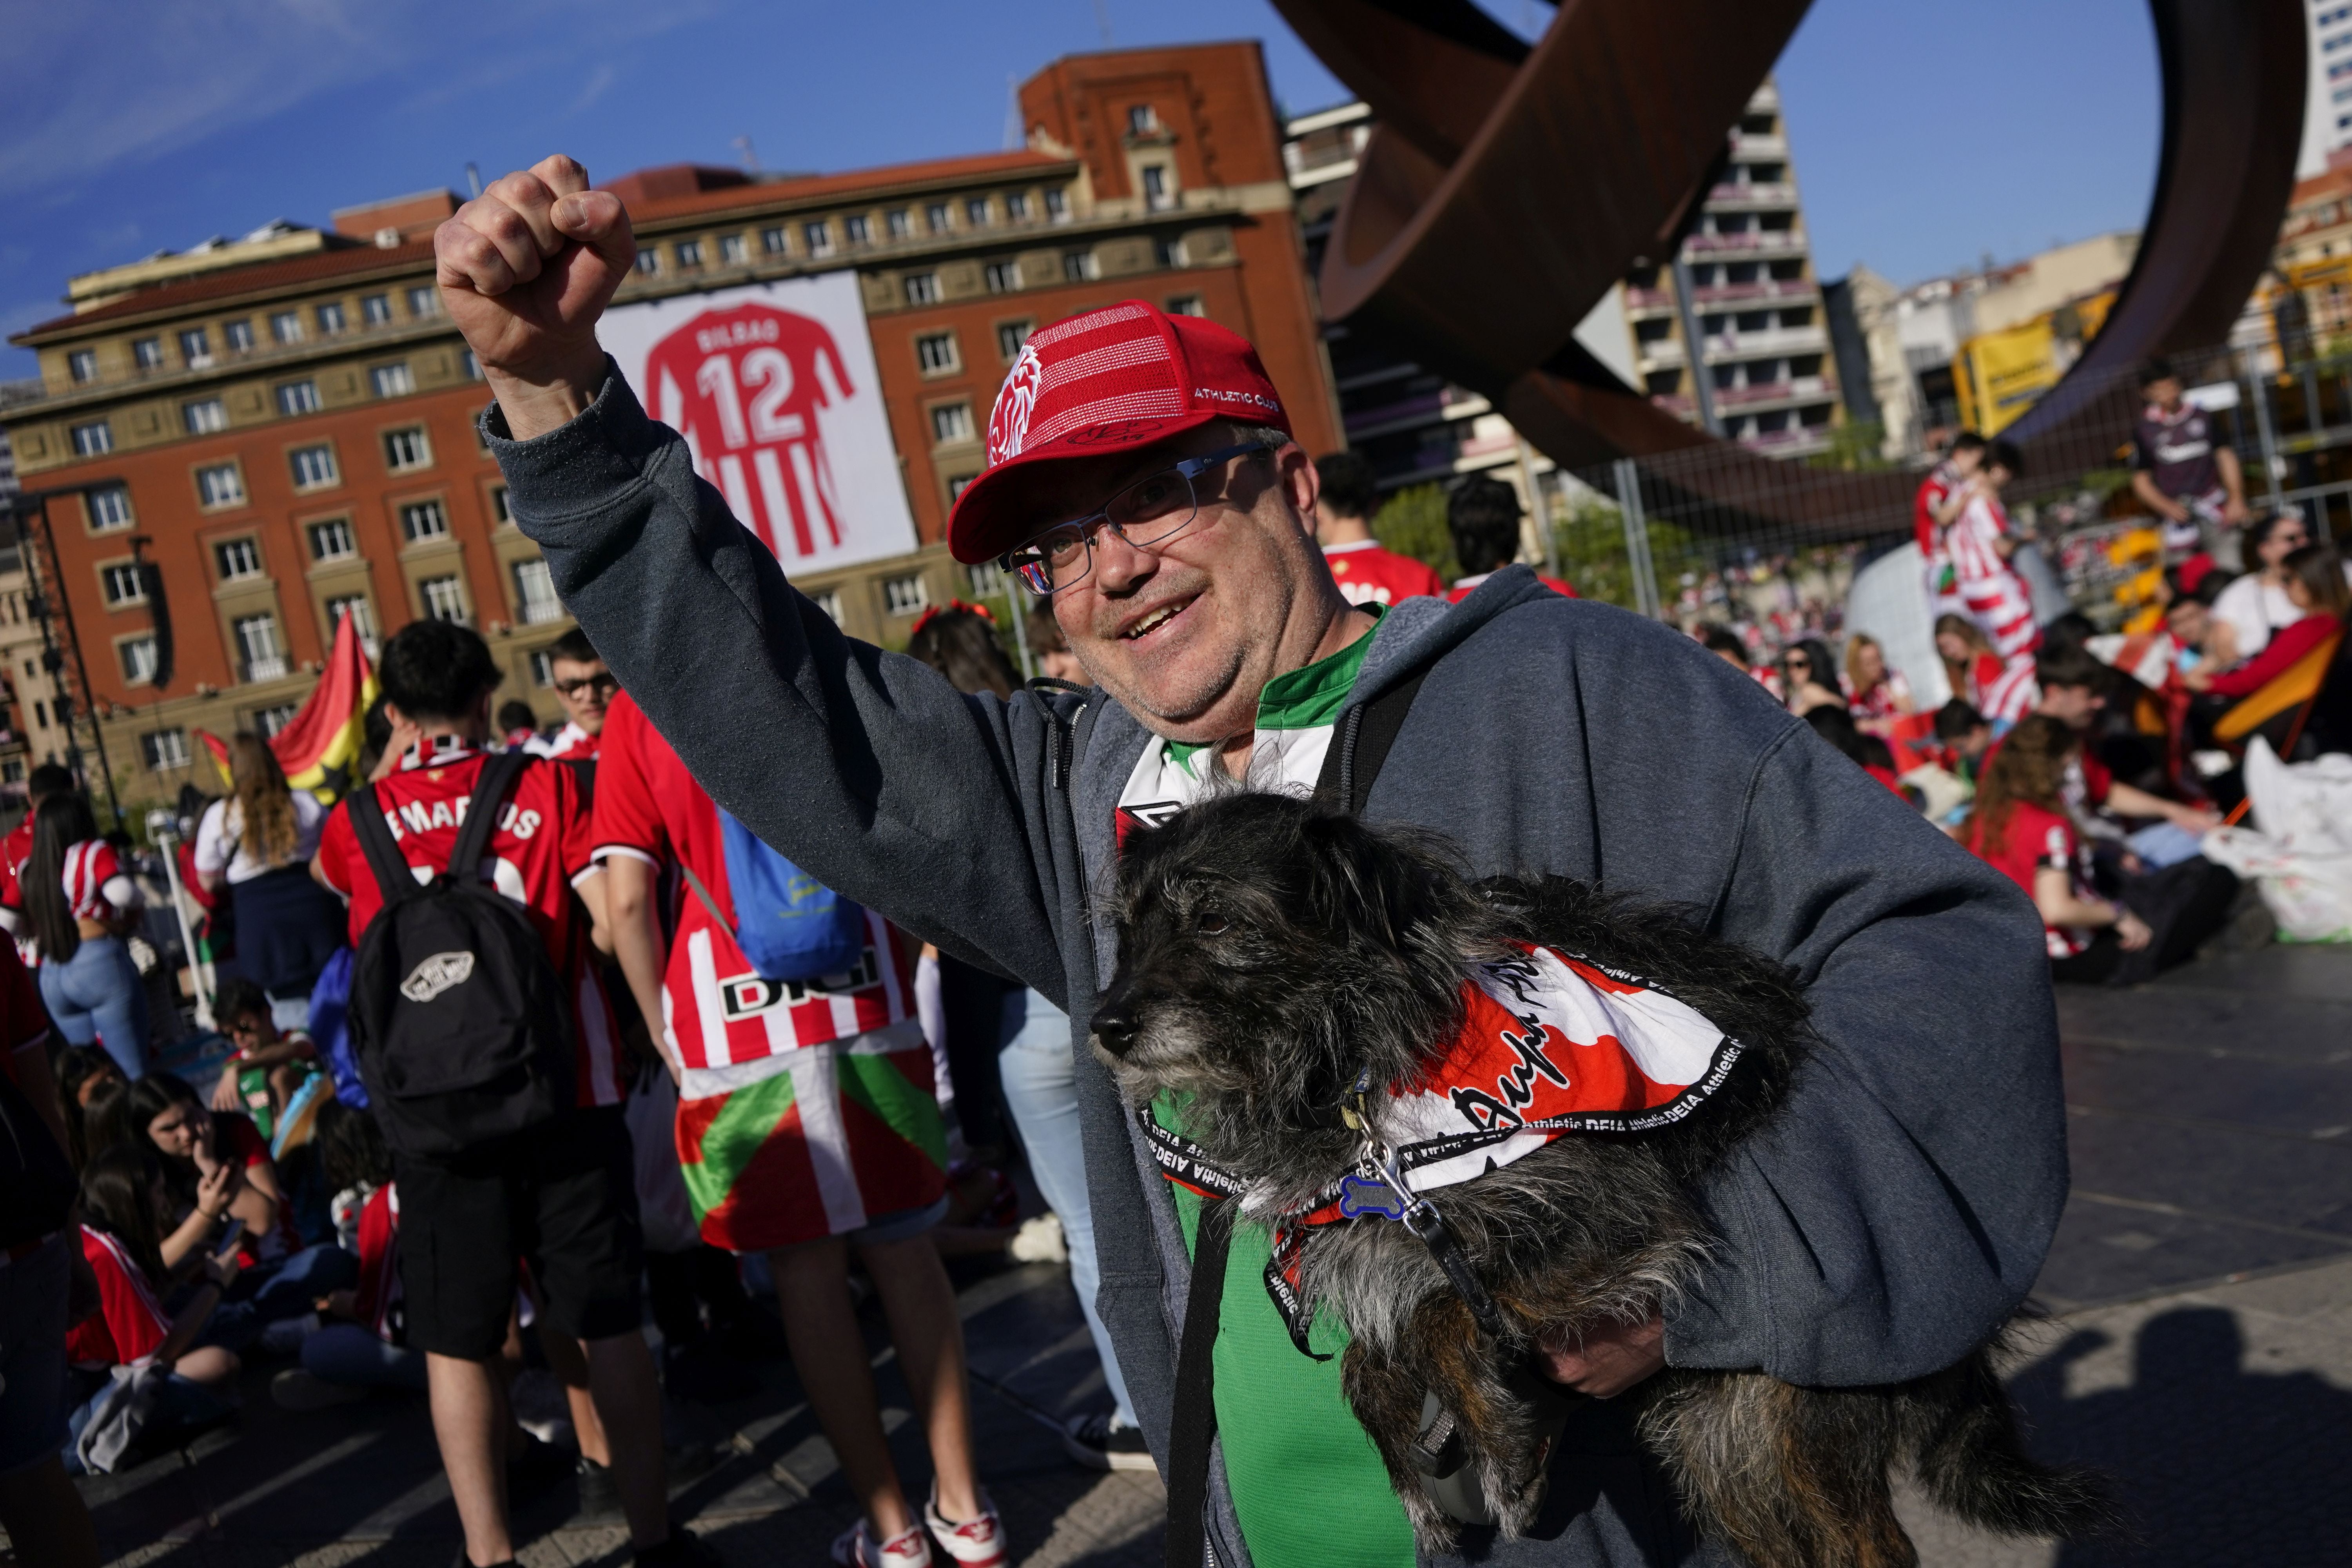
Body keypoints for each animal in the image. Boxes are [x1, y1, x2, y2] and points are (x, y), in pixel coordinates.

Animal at [1091, 799, 2107, 1568]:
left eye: (1216, 919)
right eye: (1130, 926)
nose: (1106, 1026)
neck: (1353, 1057)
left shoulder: (1616, 1215)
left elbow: (1438, 1313)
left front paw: (1501, 1454)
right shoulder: (1391, 1233)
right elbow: (1368, 1361)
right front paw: (1421, 1480)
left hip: (1780, 1417)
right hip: (1722, 1440)